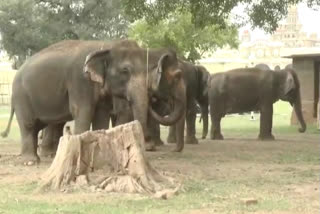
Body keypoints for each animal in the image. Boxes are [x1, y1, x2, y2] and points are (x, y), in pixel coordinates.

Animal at [1, 39, 185, 164]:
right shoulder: (79, 81)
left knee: (40, 125)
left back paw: (44, 156)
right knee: (29, 125)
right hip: (21, 96)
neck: (106, 46)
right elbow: (83, 112)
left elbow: (101, 117)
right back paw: (31, 161)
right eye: (125, 71)